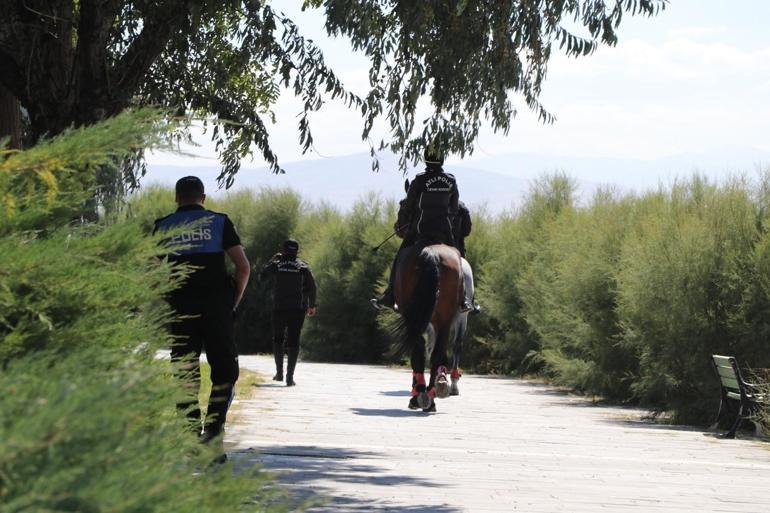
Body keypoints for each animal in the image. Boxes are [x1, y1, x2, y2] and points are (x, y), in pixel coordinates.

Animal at [390, 241, 462, 412]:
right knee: (436, 352)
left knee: (418, 350)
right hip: (444, 318)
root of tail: (431, 253)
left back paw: (421, 396)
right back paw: (434, 391)